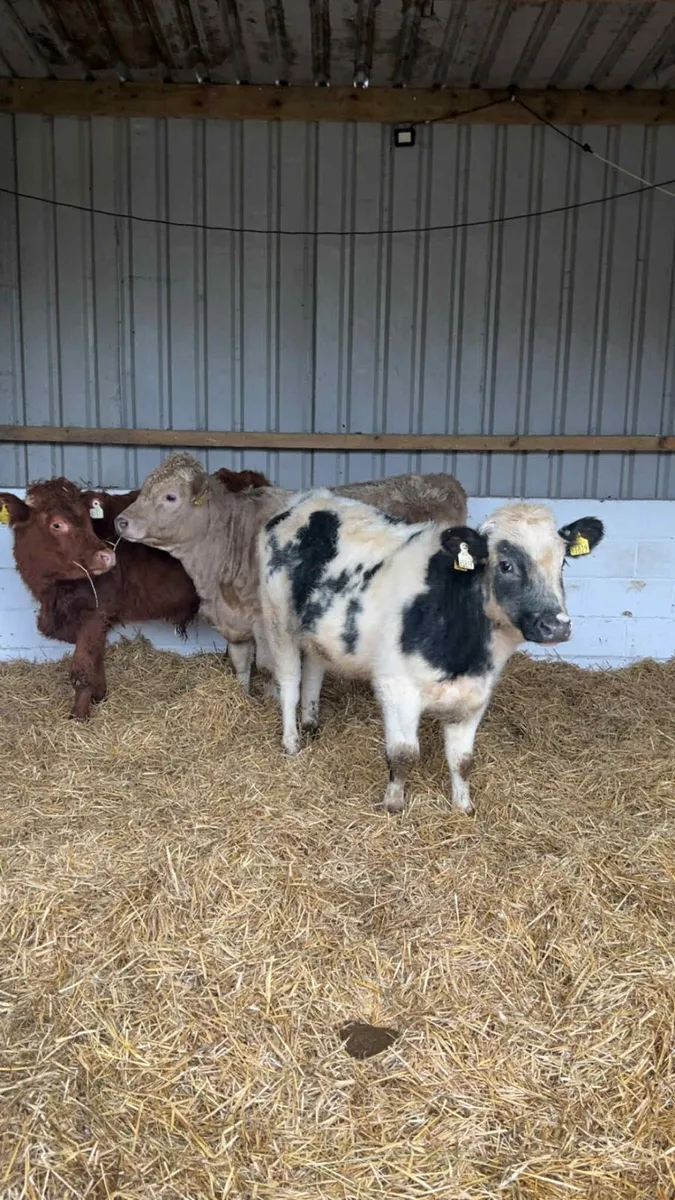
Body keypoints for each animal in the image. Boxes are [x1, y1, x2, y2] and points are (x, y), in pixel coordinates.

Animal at [0, 467, 271, 721]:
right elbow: (96, 659)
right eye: (57, 524)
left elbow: (83, 668)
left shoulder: (94, 614)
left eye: (88, 522)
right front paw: (99, 695)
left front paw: (79, 716)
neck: (52, 594)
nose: (106, 555)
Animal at [113, 452, 468, 695]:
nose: (121, 521)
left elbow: (272, 669)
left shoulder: (269, 623)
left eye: (170, 497)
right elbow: (241, 665)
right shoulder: (235, 623)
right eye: (143, 489)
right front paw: (243, 699)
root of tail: (442, 480)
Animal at [257, 491, 604, 816]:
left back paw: (311, 721)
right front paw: (393, 804)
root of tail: (311, 498)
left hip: (318, 629)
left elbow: (463, 760)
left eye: (562, 563)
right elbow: (404, 754)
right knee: (289, 683)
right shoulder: (396, 686)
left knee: (314, 669)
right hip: (277, 621)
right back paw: (292, 741)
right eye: (506, 565)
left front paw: (463, 807)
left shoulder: (475, 695)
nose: (556, 626)